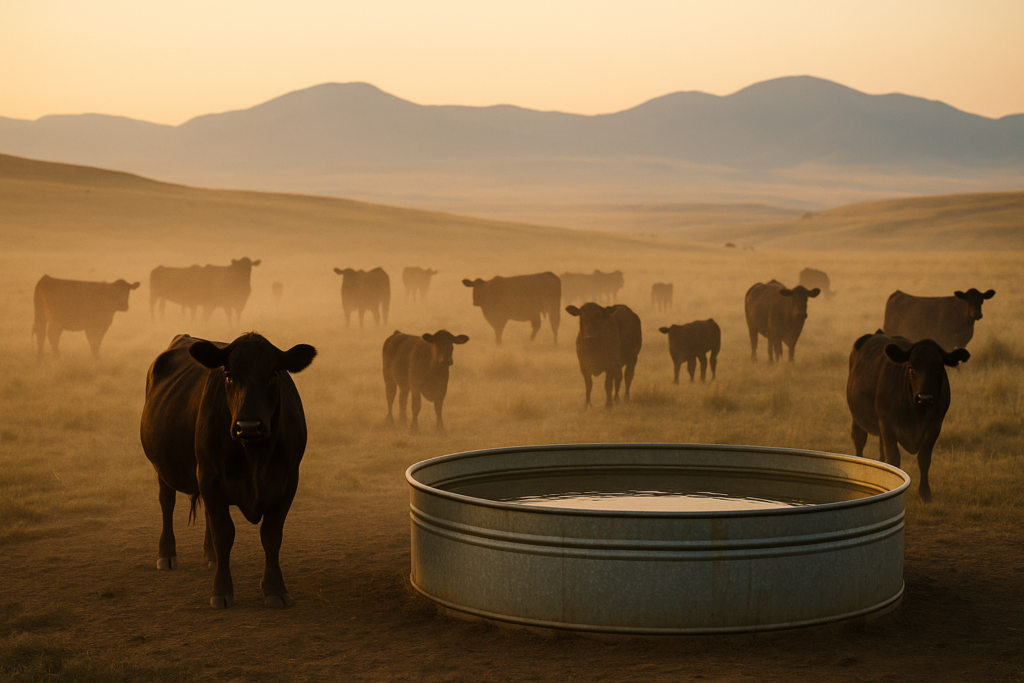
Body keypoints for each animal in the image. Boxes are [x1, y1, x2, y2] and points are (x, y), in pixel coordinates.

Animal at [139, 333, 316, 609]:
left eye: (273, 375)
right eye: (229, 375)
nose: (248, 426)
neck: (254, 457)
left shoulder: (287, 483)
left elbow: (271, 535)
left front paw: (275, 588)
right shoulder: (210, 478)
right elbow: (224, 533)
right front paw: (221, 591)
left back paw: (210, 556)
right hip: (163, 467)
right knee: (167, 502)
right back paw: (167, 554)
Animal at [846, 331, 969, 501]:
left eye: (939, 368)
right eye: (911, 368)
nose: (925, 398)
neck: (917, 414)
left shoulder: (935, 426)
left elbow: (924, 459)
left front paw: (925, 493)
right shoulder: (887, 425)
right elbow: (894, 458)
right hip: (858, 417)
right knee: (859, 440)